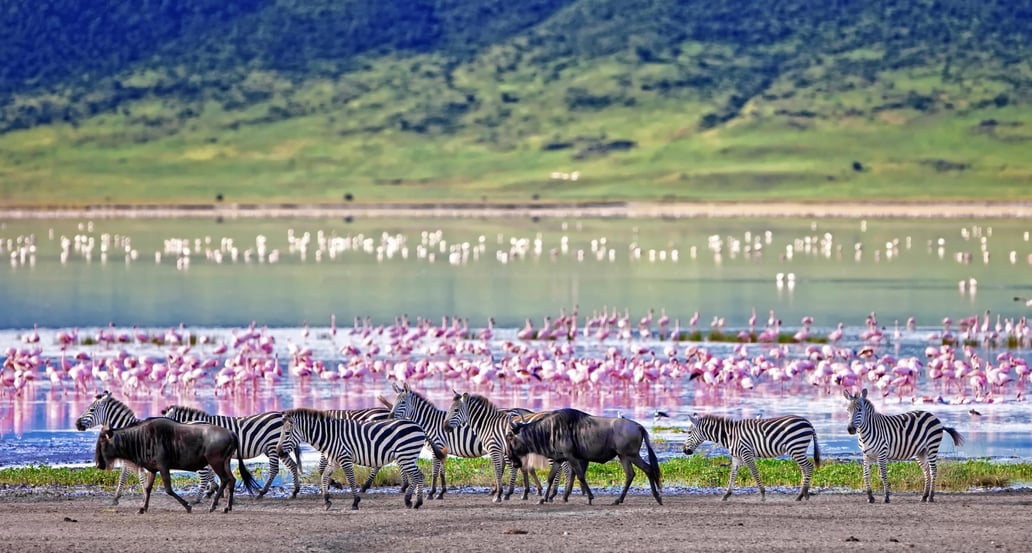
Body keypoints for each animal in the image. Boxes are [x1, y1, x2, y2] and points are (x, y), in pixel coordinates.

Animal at [158, 404, 301, 499]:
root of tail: (281, 415)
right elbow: (212, 472)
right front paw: (215, 490)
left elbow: (210, 472)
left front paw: (213, 490)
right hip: (277, 448)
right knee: (292, 465)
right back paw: (295, 491)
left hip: (272, 446)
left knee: (274, 469)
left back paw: (262, 493)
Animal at [274, 406, 435, 509]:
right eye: (280, 433)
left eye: (286, 433)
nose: (279, 452)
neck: (330, 436)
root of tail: (418, 426)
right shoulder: (334, 461)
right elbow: (324, 477)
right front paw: (327, 501)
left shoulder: (345, 458)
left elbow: (351, 480)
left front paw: (355, 502)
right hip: (407, 456)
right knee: (416, 476)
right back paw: (409, 501)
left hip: (406, 455)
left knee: (418, 476)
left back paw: (417, 502)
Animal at [681, 414, 817, 501]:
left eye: (689, 433)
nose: (684, 450)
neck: (730, 436)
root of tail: (808, 422)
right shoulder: (736, 457)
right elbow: (732, 475)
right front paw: (726, 495)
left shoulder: (746, 453)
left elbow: (754, 472)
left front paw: (763, 495)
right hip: (798, 449)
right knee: (804, 469)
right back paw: (803, 494)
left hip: (796, 447)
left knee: (809, 466)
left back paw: (801, 495)